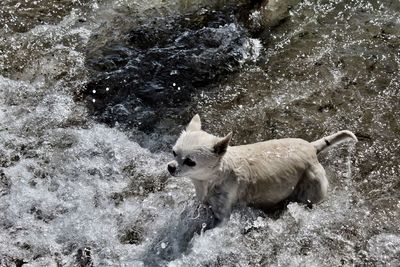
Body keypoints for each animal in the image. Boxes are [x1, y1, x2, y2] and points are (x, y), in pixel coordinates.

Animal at [167, 115, 358, 222]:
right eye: (174, 152)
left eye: (190, 162)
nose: (170, 167)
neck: (212, 178)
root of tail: (311, 147)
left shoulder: (223, 213)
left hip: (312, 188)